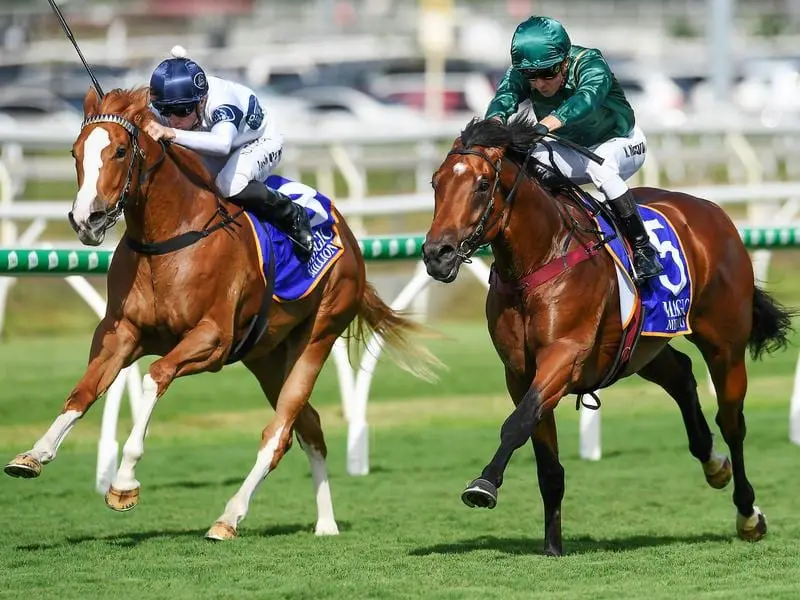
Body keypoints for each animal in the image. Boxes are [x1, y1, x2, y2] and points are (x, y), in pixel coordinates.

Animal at [3, 86, 438, 540]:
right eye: (74, 152)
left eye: (121, 151)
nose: (85, 219)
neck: (168, 238)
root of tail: (349, 236)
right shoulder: (122, 333)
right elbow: (83, 391)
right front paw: (34, 454)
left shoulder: (211, 340)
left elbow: (155, 376)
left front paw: (123, 482)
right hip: (265, 356)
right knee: (309, 427)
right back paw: (325, 523)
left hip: (317, 336)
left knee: (279, 433)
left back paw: (229, 517)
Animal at [422, 117, 796, 556]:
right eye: (436, 182)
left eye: (482, 184)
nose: (438, 254)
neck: (540, 258)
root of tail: (713, 211)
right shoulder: (519, 372)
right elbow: (544, 458)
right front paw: (553, 546)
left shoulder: (564, 356)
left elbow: (516, 424)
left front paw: (484, 484)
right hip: (644, 345)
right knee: (681, 374)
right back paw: (713, 463)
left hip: (725, 345)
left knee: (732, 421)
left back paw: (748, 514)